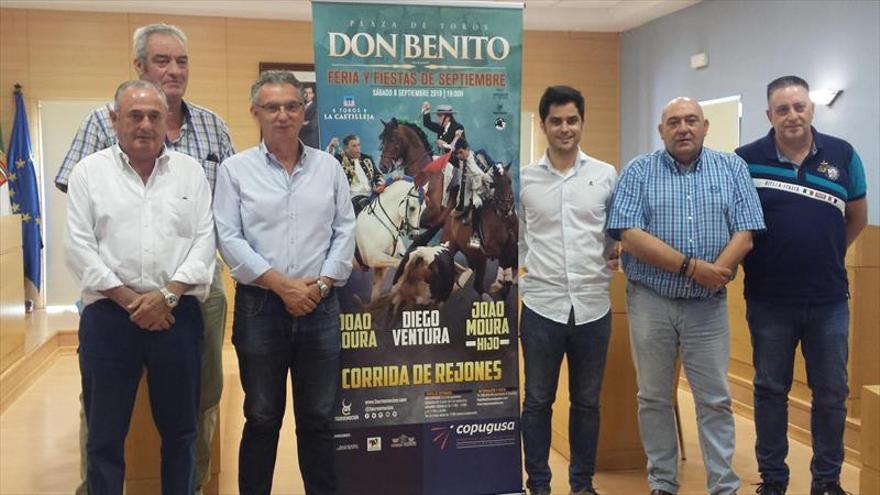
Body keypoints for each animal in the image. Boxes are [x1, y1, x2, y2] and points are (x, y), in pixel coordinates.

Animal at [440, 164, 516, 298]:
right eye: (494, 184)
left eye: (509, 181)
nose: (505, 207)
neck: (502, 219)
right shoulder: (491, 249)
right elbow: (504, 257)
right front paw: (499, 284)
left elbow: (509, 255)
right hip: (455, 247)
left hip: (472, 254)